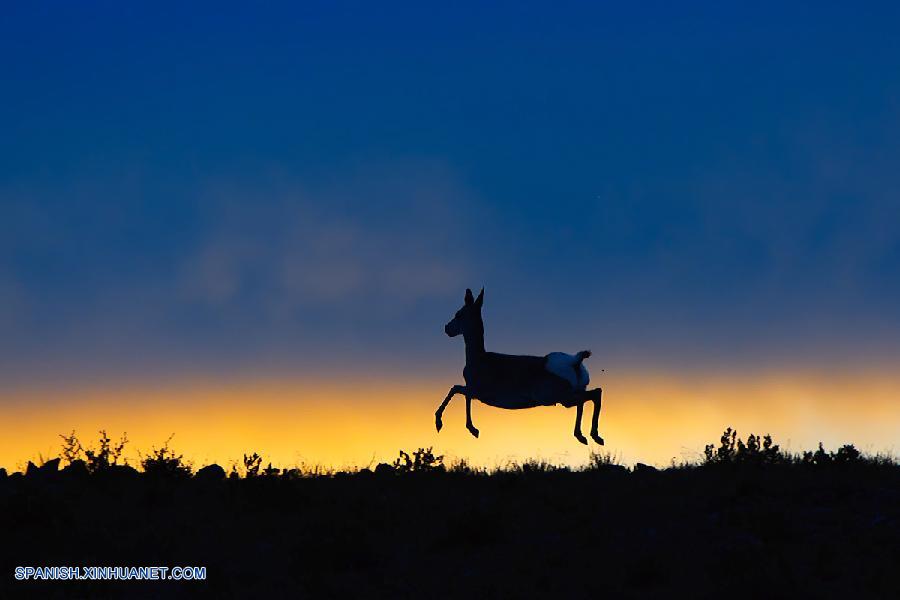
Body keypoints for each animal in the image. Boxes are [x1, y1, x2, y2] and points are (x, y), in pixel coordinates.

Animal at [438, 288, 604, 442]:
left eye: (458, 314)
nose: (446, 328)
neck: (478, 358)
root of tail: (575, 360)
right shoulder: (473, 390)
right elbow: (461, 393)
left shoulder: (475, 391)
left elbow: (456, 389)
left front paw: (448, 424)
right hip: (570, 395)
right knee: (593, 395)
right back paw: (588, 436)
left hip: (559, 397)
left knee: (590, 397)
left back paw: (588, 436)